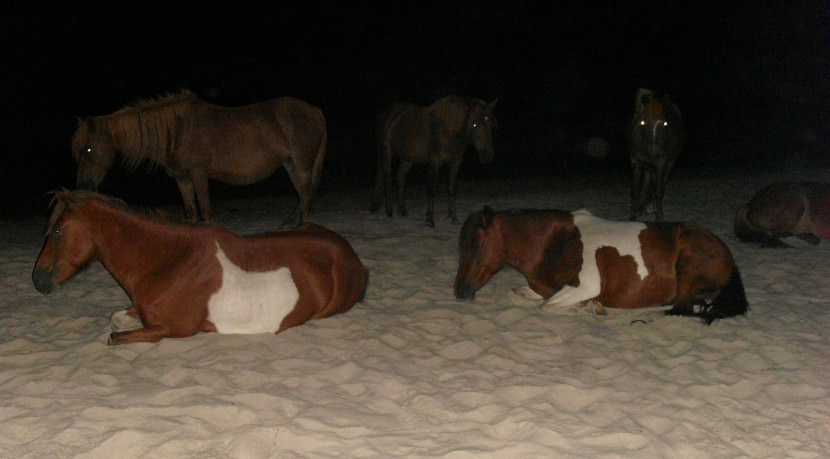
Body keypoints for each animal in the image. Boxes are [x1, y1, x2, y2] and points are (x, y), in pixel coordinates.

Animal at [32, 190, 368, 345]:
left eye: (57, 230)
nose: (37, 280)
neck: (170, 261)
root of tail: (351, 256)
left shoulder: (172, 330)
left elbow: (113, 336)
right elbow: (115, 319)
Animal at [72, 90, 327, 227]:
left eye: (89, 150)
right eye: (80, 151)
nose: (84, 185)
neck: (175, 131)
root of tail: (315, 111)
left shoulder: (198, 174)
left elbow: (205, 210)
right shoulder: (182, 179)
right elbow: (190, 213)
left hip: (303, 165)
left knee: (306, 197)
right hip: (291, 165)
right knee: (302, 195)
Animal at [370, 95, 497, 227]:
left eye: (491, 124)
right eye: (474, 124)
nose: (488, 156)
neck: (446, 128)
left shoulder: (455, 162)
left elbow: (452, 189)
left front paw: (454, 219)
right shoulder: (434, 161)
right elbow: (432, 188)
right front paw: (430, 220)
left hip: (407, 158)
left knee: (400, 178)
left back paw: (403, 211)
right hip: (386, 152)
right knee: (387, 179)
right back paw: (389, 211)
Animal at [454, 207, 748, 324]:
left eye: (475, 243)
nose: (459, 291)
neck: (553, 243)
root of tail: (726, 252)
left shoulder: (585, 287)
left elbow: (548, 306)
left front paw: (588, 308)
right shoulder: (540, 287)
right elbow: (518, 296)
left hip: (686, 268)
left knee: (681, 308)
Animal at [627, 88, 684, 221]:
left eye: (665, 123)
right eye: (643, 122)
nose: (653, 152)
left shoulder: (661, 163)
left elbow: (659, 191)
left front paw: (659, 218)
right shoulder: (635, 161)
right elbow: (635, 191)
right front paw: (632, 217)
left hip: (669, 163)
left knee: (661, 184)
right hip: (648, 165)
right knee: (647, 181)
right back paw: (642, 208)